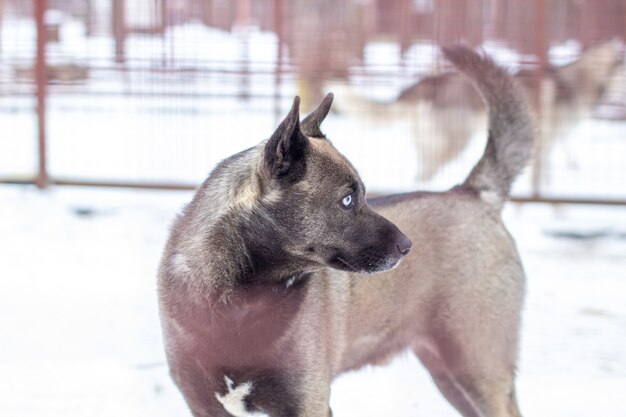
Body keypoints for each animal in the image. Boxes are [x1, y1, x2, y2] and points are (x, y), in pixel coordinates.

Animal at [157, 45, 532, 416]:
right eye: (348, 199)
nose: (407, 246)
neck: (239, 302)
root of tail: (473, 192)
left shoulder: (309, 403)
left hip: (477, 370)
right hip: (450, 376)